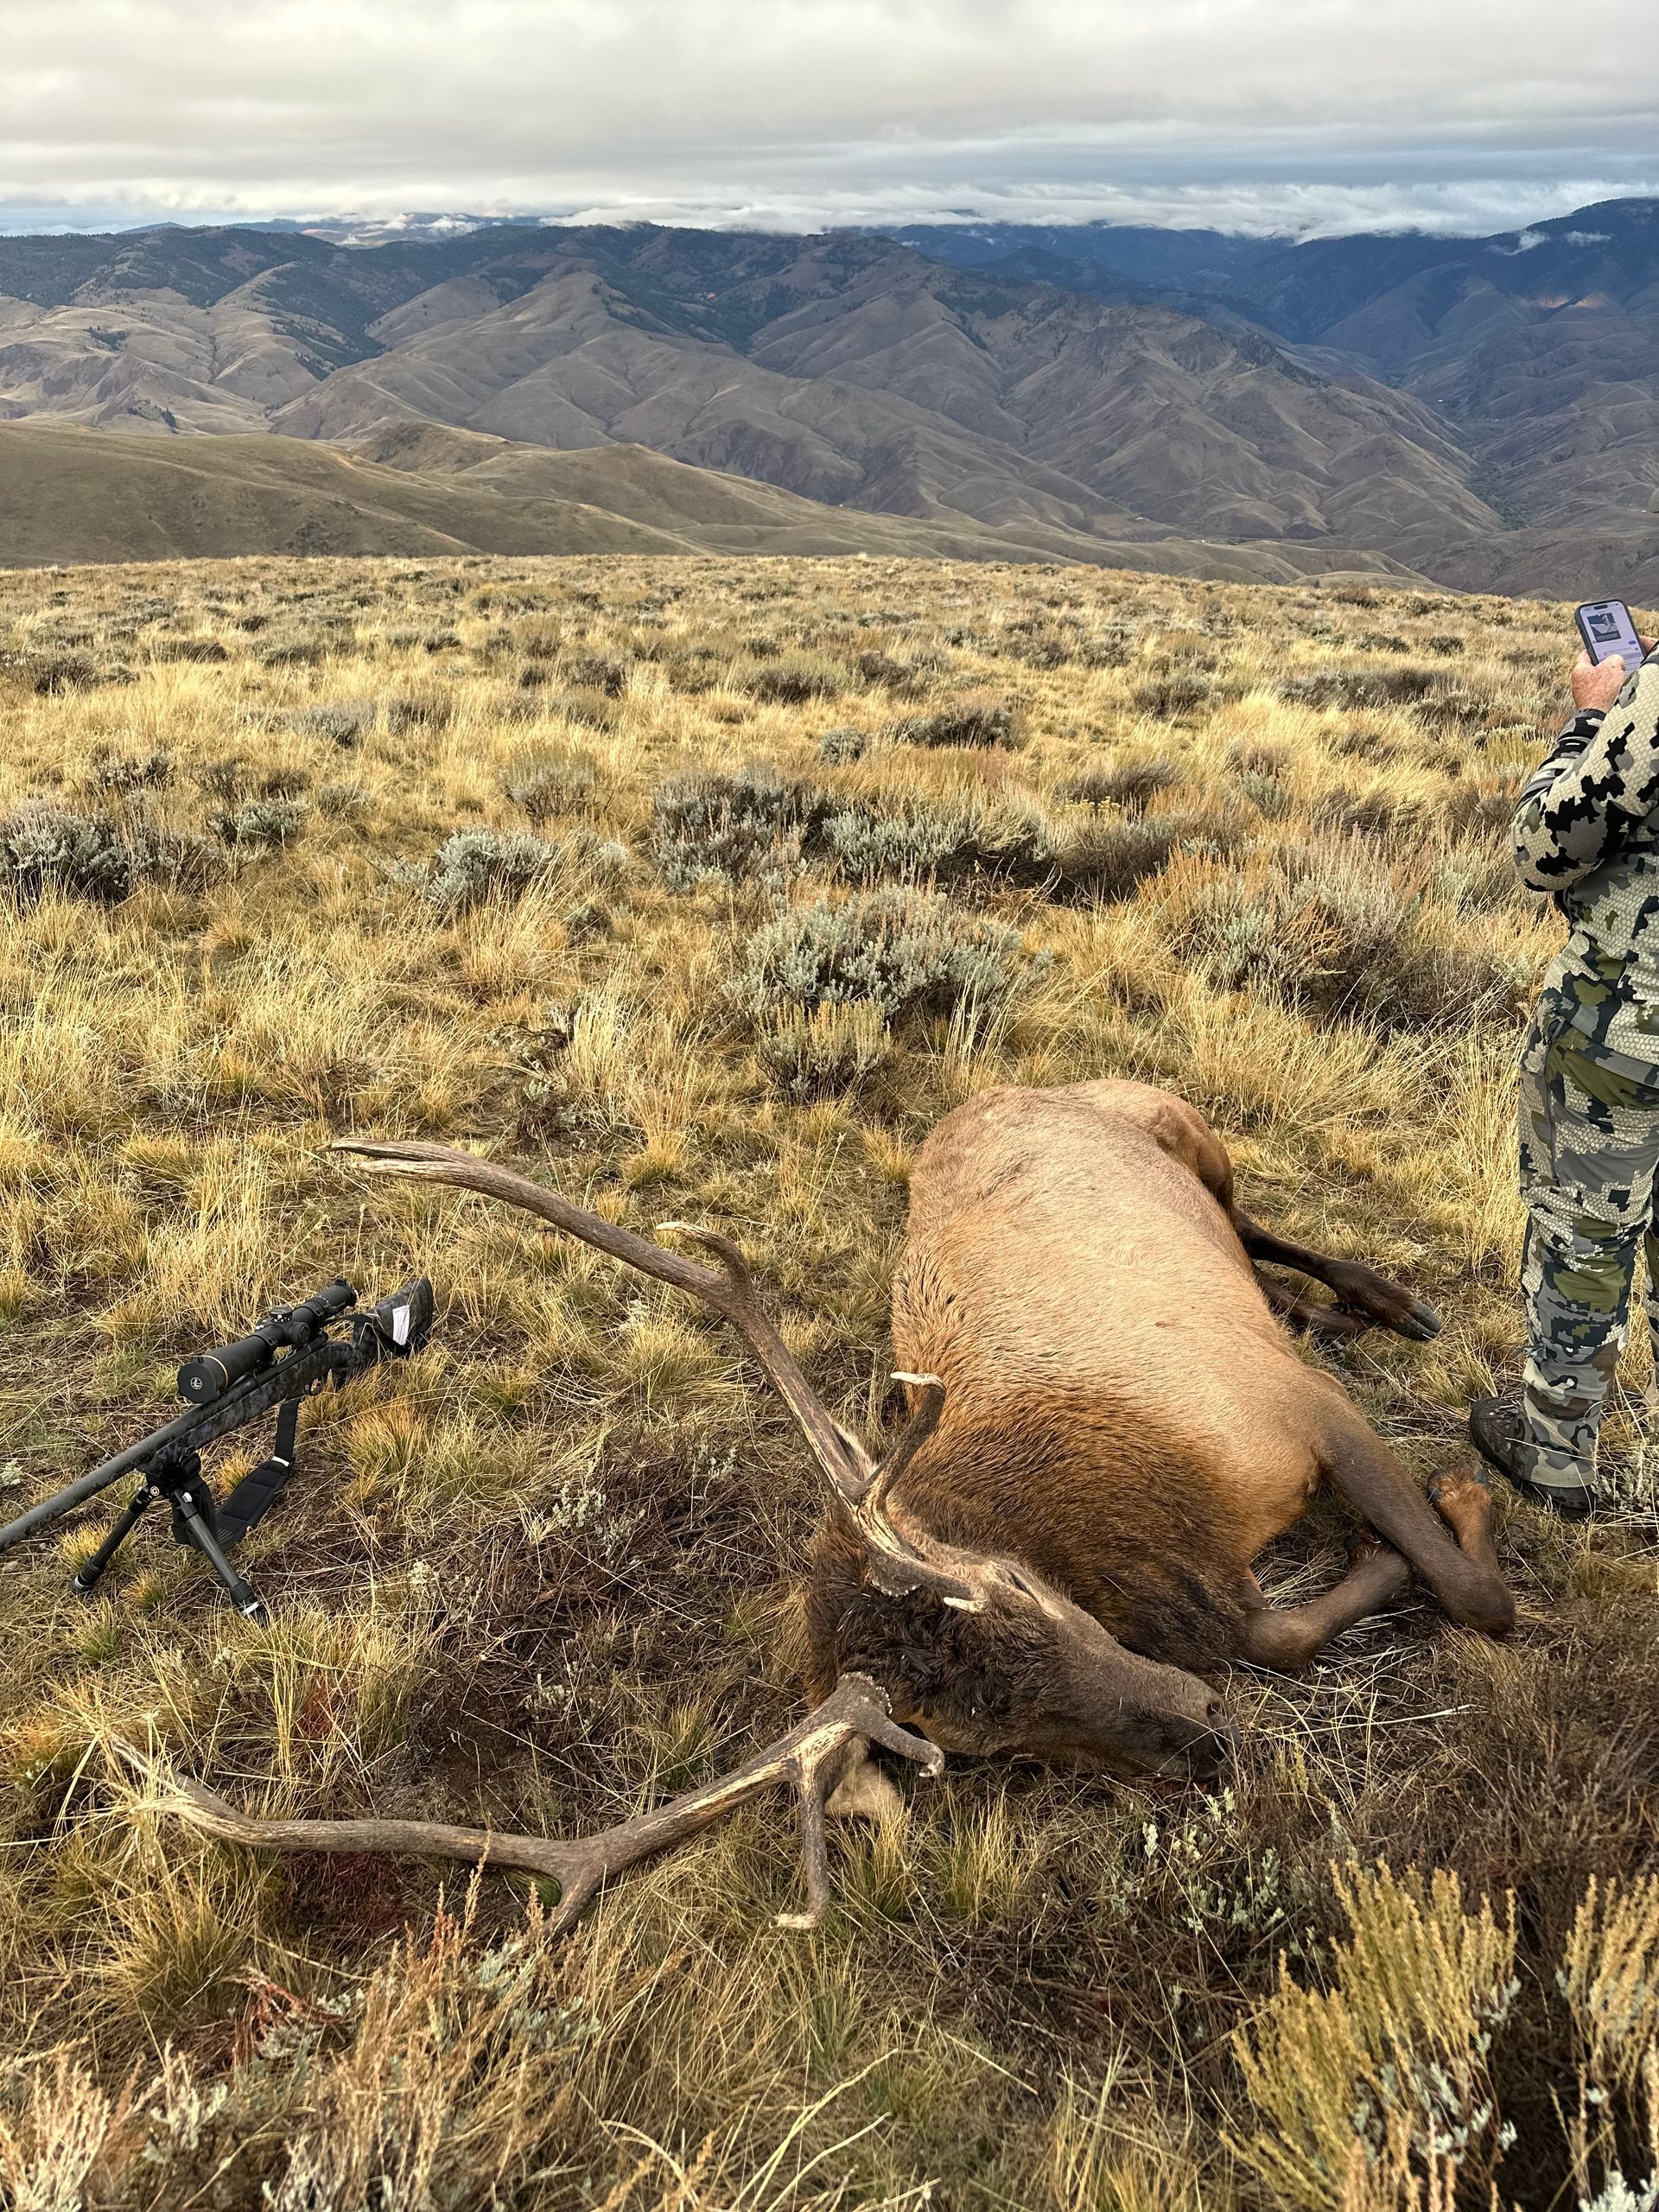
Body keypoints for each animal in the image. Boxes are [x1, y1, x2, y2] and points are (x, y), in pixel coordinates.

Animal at [142, 1079, 1513, 1930]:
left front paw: (1461, 1489)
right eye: (969, 1745)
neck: (1158, 1509)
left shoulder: (1287, 1411)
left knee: (1261, 1219)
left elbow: (1474, 1594)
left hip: (1192, 1133)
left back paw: (1382, 1298)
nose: (1206, 1739)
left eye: (1019, 1594)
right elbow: (1295, 1626)